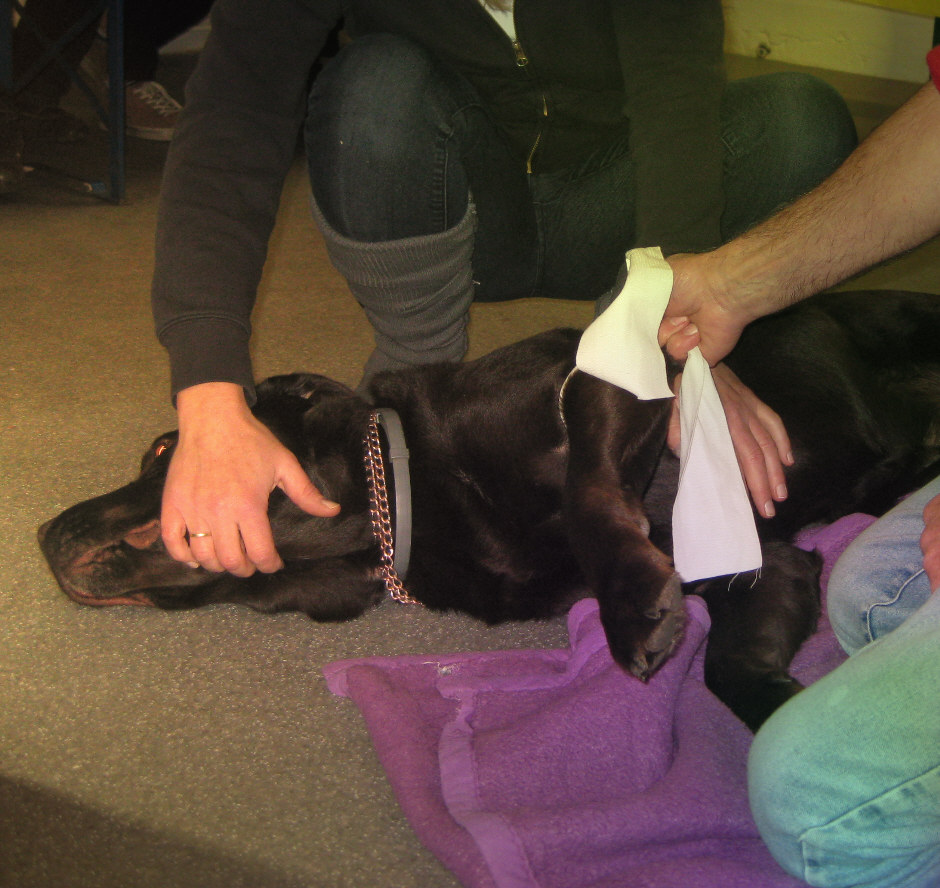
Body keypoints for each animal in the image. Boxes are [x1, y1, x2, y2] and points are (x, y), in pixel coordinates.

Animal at [38, 290, 940, 729]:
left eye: (163, 451)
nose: (42, 531)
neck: (408, 499)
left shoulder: (606, 375)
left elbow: (588, 492)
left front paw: (628, 610)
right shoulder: (762, 560)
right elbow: (731, 670)